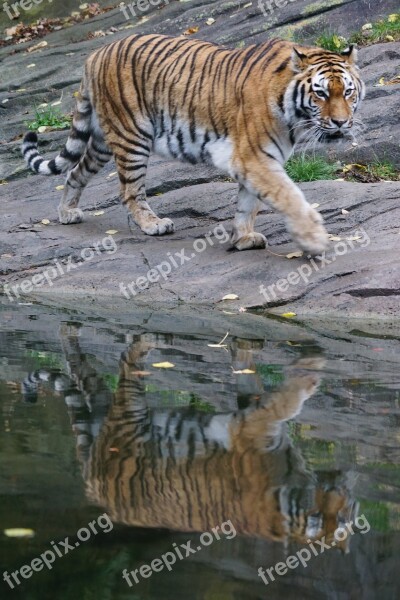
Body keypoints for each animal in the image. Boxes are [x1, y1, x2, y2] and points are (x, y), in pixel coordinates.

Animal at [21, 34, 366, 255]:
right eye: (321, 93)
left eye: (348, 92)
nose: (340, 123)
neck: (291, 111)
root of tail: (95, 54)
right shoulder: (254, 158)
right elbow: (290, 196)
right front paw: (314, 239)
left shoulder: (257, 161)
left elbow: (248, 204)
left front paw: (243, 238)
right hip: (132, 137)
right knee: (130, 190)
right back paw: (153, 224)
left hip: (104, 141)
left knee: (75, 172)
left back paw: (67, 212)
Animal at [23, 326, 356, 548]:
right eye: (341, 515)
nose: (347, 487)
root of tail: (96, 489)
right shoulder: (255, 425)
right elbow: (296, 394)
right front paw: (313, 357)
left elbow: (248, 374)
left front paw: (245, 346)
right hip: (130, 411)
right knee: (126, 360)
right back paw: (151, 339)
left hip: (101, 407)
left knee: (81, 370)